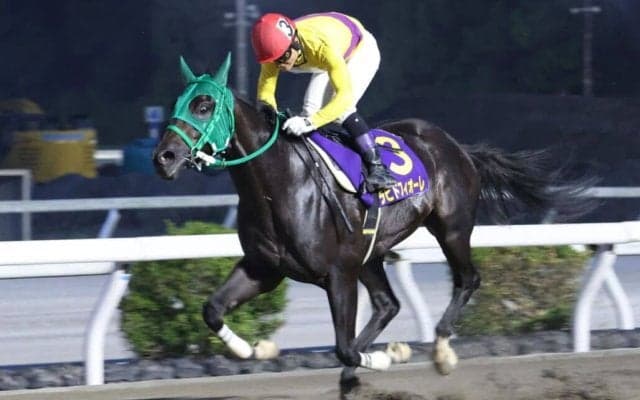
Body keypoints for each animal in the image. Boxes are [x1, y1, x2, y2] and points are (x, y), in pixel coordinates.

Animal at [153, 54, 592, 383]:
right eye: (176, 103)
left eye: (204, 105)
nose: (164, 157)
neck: (279, 184)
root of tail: (456, 146)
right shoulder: (265, 268)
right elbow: (212, 309)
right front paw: (257, 347)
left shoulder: (338, 274)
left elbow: (344, 348)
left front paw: (385, 357)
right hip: (371, 251)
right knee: (387, 304)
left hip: (451, 228)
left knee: (467, 279)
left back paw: (440, 351)